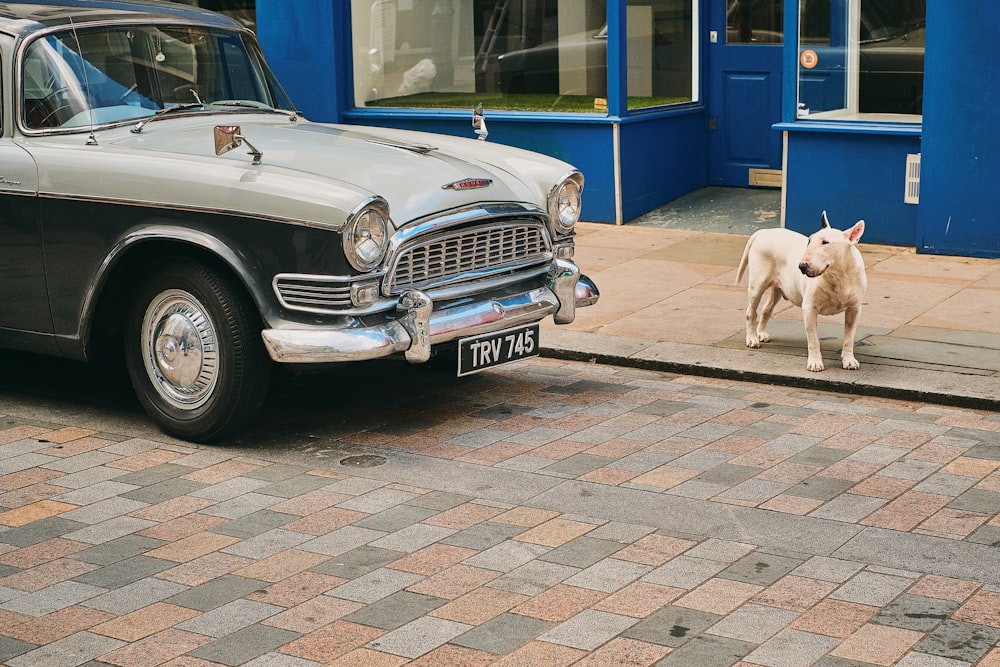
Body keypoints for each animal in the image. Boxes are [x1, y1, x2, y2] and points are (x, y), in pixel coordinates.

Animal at [736, 213, 868, 374]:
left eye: (825, 242)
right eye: (809, 240)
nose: (802, 266)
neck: (838, 275)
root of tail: (763, 232)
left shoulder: (854, 309)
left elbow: (849, 337)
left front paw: (849, 360)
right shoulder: (810, 308)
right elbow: (813, 339)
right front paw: (815, 363)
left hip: (778, 288)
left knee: (766, 309)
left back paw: (761, 333)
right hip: (757, 284)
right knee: (751, 311)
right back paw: (752, 338)